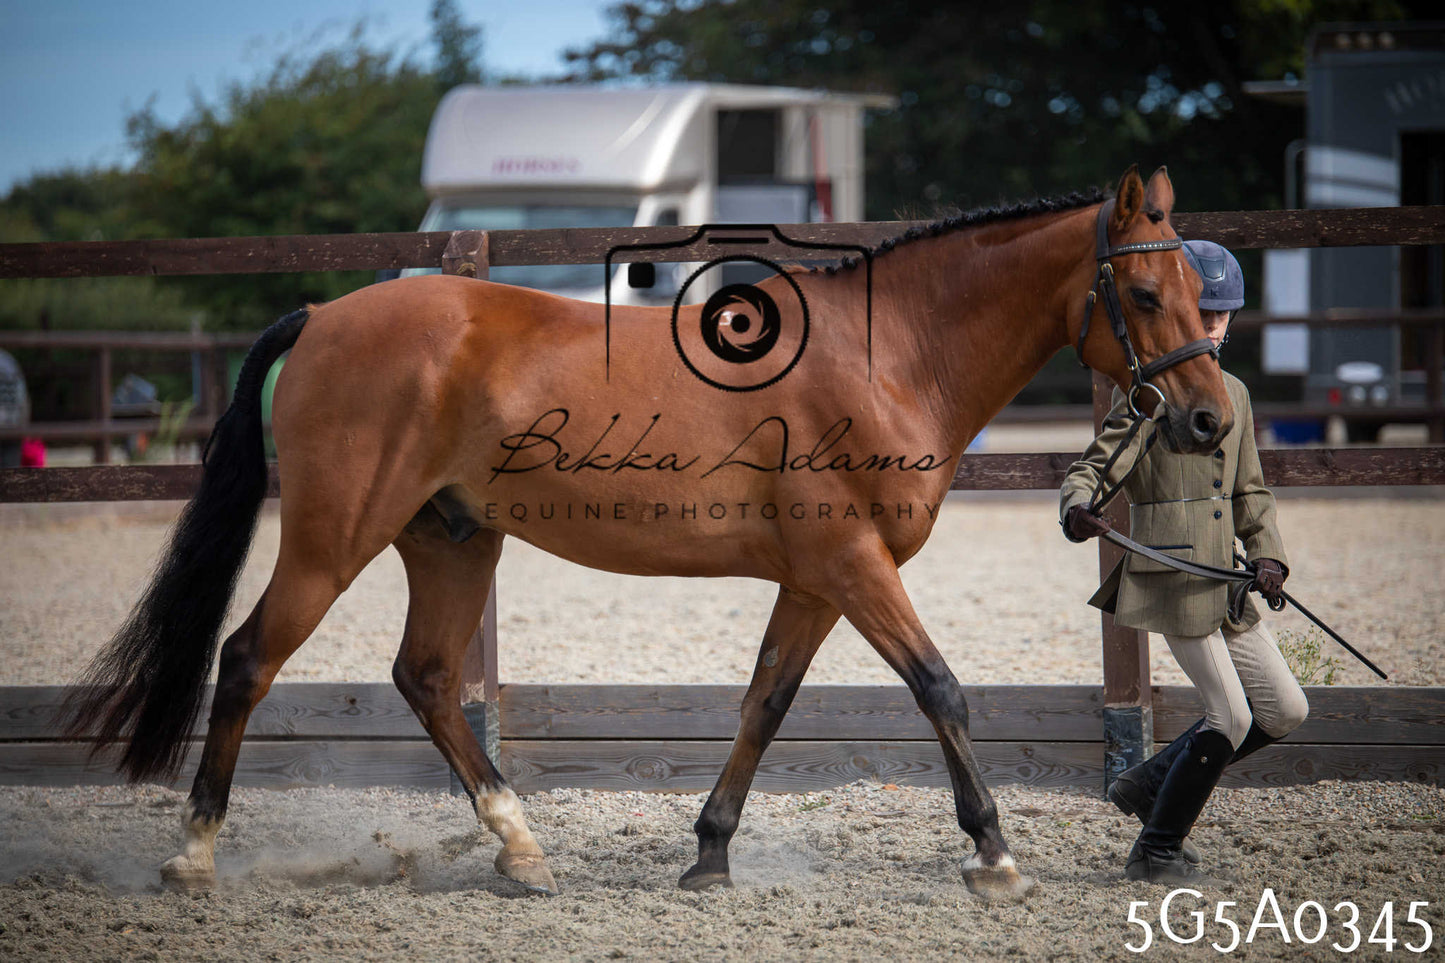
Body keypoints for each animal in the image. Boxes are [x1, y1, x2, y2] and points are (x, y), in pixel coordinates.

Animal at [64, 165, 1229, 901]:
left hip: (450, 542)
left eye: (1190, 289)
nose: (1210, 420)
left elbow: (764, 701)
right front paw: (991, 855)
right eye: (1140, 290)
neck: (888, 355)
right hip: (331, 537)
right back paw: (194, 858)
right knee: (248, 659)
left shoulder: (816, 580)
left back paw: (522, 852)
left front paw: (709, 854)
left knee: (427, 679)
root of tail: (323, 316)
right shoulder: (852, 566)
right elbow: (939, 688)